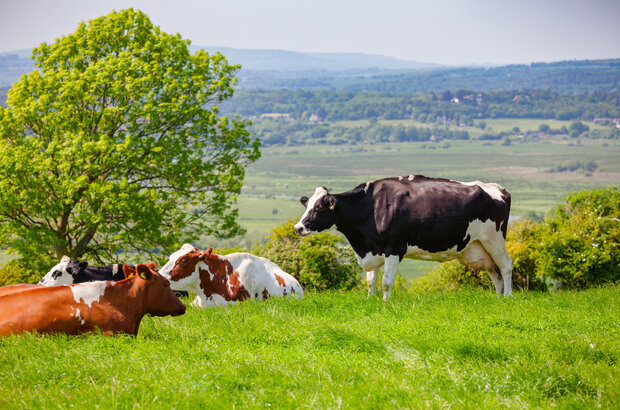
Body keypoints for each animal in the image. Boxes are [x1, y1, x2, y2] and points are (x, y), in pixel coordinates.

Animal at [296, 175, 512, 300]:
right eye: (307, 205)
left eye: (319, 207)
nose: (298, 228)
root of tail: (498, 189)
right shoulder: (374, 248)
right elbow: (371, 281)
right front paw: (370, 300)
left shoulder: (395, 247)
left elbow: (386, 281)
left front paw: (386, 303)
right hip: (479, 246)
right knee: (494, 271)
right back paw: (498, 298)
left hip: (494, 239)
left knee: (506, 266)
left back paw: (508, 297)